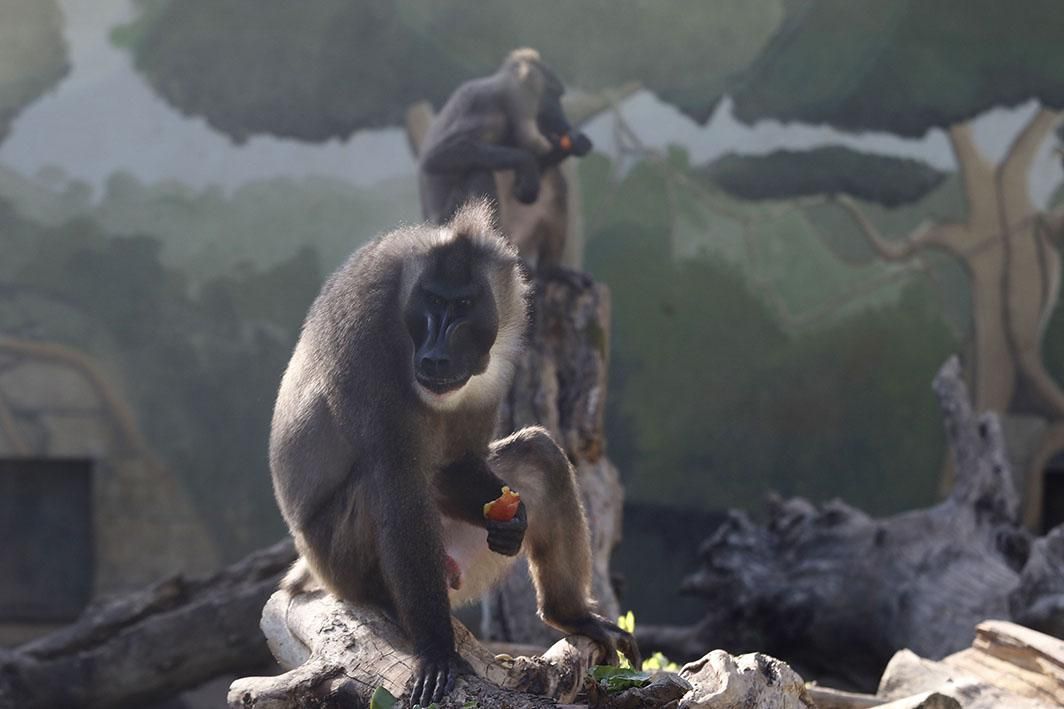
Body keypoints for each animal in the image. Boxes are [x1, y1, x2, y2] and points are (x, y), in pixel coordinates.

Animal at [270, 201, 634, 702]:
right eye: (433, 303)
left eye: (462, 307)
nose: (436, 355)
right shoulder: (365, 338)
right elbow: (401, 488)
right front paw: (438, 652)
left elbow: (456, 466)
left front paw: (511, 520)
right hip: (343, 560)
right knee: (382, 488)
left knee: (540, 455)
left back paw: (570, 614)